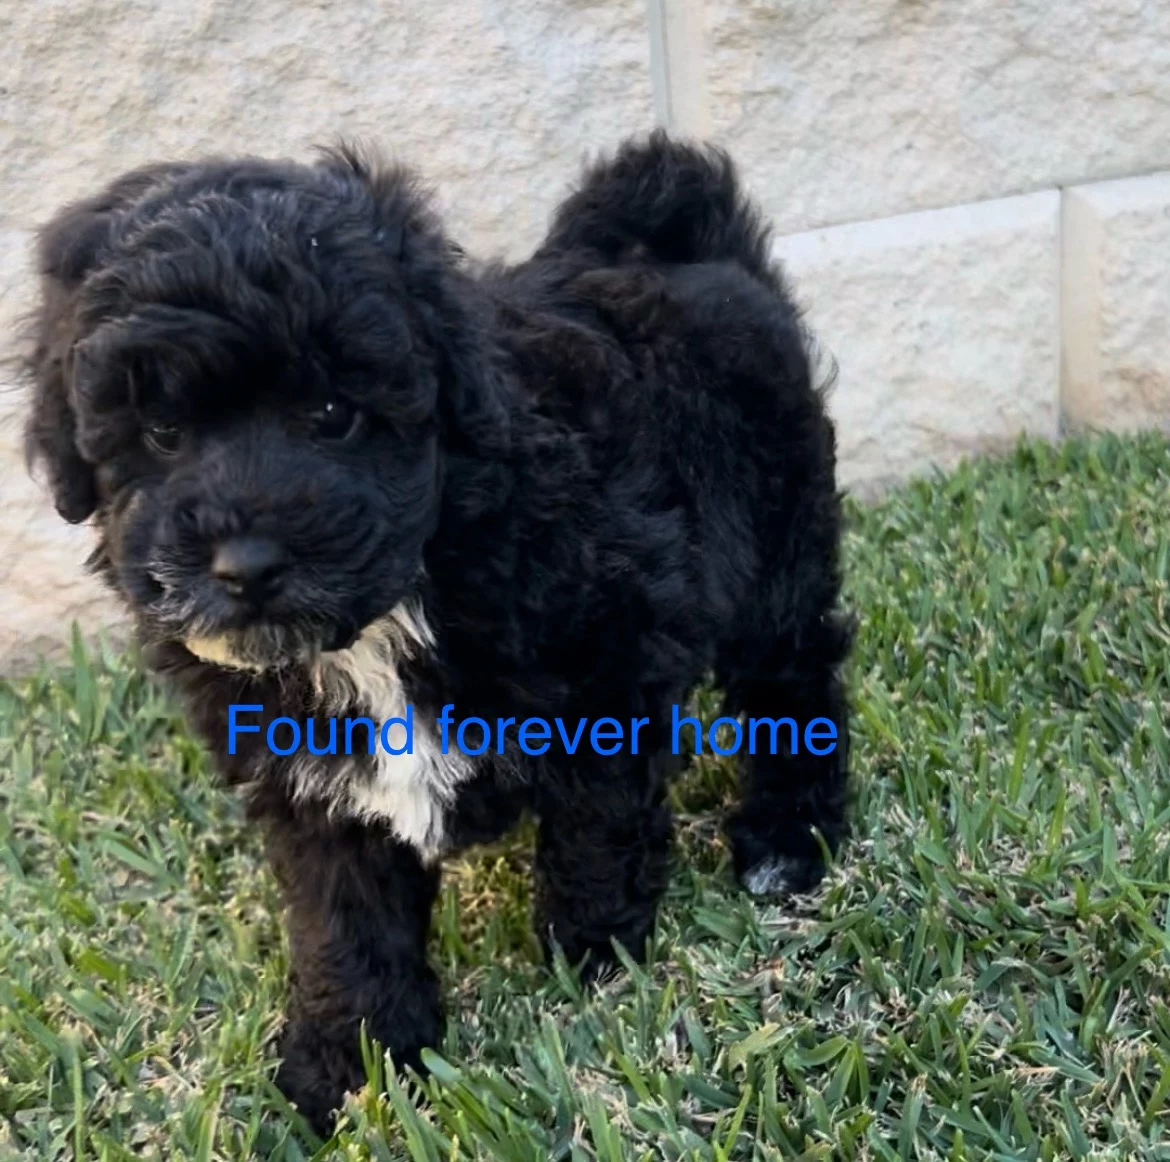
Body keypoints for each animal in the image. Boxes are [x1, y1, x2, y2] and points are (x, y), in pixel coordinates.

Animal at [21, 132, 851, 1131]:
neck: (391, 606)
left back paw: (789, 836)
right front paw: (350, 1059)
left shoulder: (609, 665)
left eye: (333, 413)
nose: (245, 563)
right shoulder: (311, 777)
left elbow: (598, 826)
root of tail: (697, 253)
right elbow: (346, 916)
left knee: (793, 679)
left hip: (775, 539)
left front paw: (591, 957)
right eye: (163, 433)